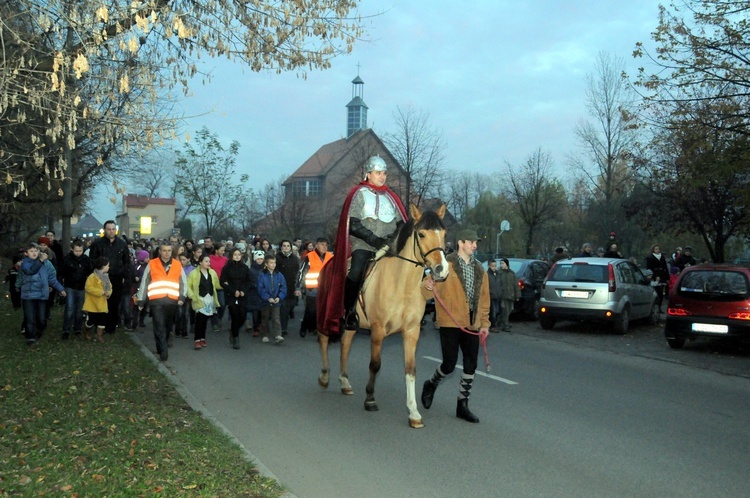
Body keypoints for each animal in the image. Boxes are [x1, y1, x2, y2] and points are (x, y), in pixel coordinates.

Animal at [318, 202, 450, 428]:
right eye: (422, 234)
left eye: (444, 233)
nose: (442, 270)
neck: (401, 284)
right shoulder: (378, 330)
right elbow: (375, 365)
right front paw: (370, 399)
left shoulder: (411, 332)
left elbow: (410, 370)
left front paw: (414, 413)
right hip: (326, 312)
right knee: (324, 339)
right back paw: (325, 377)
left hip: (352, 324)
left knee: (345, 344)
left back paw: (344, 382)